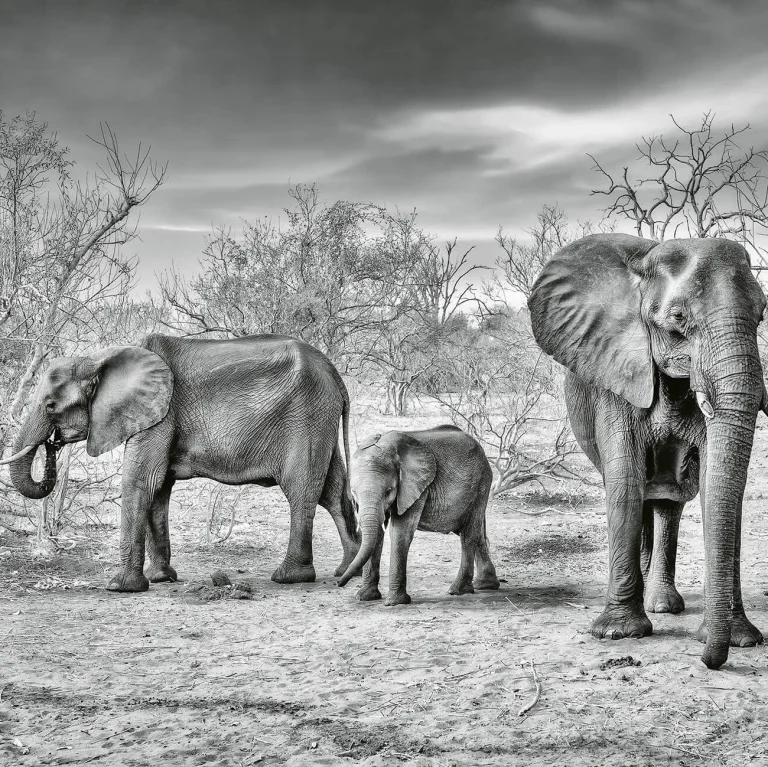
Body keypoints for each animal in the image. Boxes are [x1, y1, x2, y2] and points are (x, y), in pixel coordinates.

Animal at [4, 334, 361, 591]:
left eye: (50, 405)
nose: (52, 444)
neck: (99, 358)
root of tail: (336, 377)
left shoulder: (159, 415)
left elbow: (140, 481)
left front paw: (121, 587)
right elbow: (158, 489)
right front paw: (161, 578)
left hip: (306, 416)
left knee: (302, 490)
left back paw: (289, 578)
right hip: (320, 417)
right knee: (333, 492)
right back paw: (348, 570)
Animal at [336, 426, 500, 605]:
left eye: (388, 491)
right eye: (353, 492)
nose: (338, 583)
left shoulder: (417, 486)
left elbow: (400, 532)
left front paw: (395, 602)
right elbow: (377, 534)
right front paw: (364, 597)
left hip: (481, 484)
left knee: (469, 535)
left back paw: (458, 590)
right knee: (477, 532)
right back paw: (485, 585)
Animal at [528, 233, 768, 669]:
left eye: (760, 316)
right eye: (677, 319)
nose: (708, 660)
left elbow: (718, 488)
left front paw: (743, 639)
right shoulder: (615, 369)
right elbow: (625, 479)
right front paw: (618, 633)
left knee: (667, 501)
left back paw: (662, 604)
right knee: (636, 491)